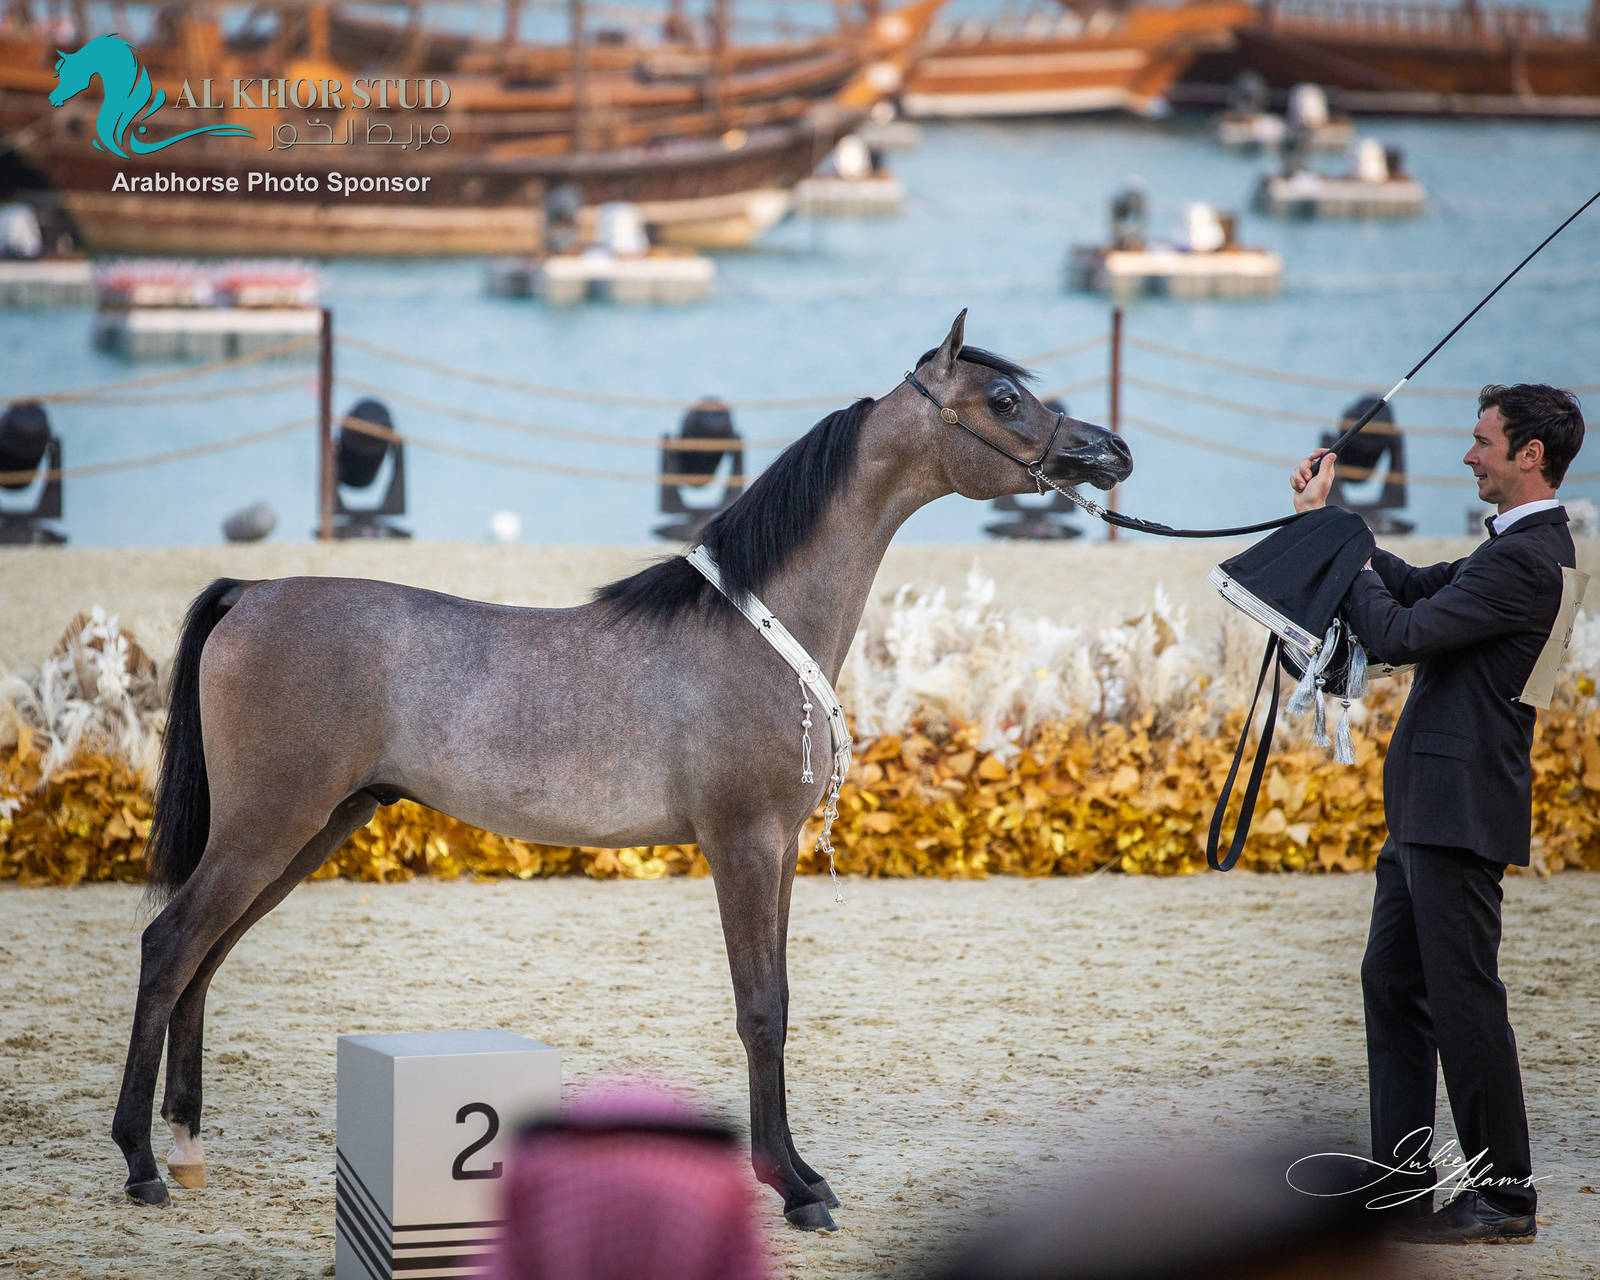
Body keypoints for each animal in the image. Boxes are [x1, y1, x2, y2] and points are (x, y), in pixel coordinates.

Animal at [113, 312, 1134, 1228]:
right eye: (1004, 399)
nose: (1111, 450)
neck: (754, 629)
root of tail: (253, 592)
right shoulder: (741, 845)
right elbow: (760, 1009)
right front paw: (792, 1189)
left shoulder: (780, 854)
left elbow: (783, 1001)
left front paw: (804, 1172)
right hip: (269, 824)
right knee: (171, 946)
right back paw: (141, 1165)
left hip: (314, 825)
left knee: (206, 956)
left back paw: (189, 1148)